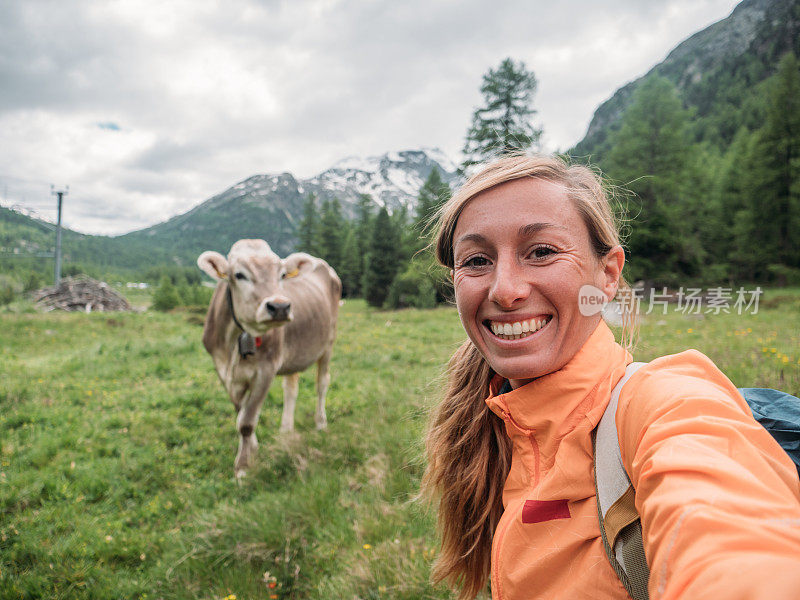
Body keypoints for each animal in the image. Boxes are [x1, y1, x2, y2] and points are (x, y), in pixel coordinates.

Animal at [198, 239, 342, 478]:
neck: (234, 341)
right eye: (239, 274)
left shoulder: (266, 370)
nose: (280, 306)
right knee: (291, 389)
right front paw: (253, 449)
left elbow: (246, 422)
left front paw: (242, 469)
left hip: (328, 342)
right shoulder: (223, 372)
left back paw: (321, 423)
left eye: (282, 274)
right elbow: (241, 414)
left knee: (322, 383)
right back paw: (286, 430)